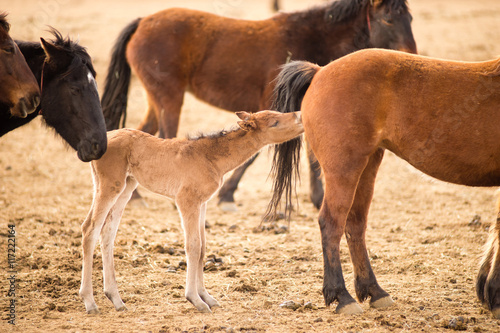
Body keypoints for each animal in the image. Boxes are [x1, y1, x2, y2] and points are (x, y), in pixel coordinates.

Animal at [80, 110, 302, 312]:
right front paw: (195, 300)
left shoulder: (202, 203)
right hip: (110, 186)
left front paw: (207, 296)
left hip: (126, 186)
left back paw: (116, 299)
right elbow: (193, 246)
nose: (299, 115)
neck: (209, 157)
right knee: (89, 229)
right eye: (274, 122)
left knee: (107, 233)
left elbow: (203, 247)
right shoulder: (186, 201)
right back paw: (90, 302)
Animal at [99, 0, 416, 209]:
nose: (411, 57)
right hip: (170, 98)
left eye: (410, 19)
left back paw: (135, 196)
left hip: (158, 100)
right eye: (388, 19)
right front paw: (227, 194)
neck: (308, 37)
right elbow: (258, 151)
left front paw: (317, 197)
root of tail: (142, 22)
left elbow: (310, 154)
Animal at [266, 48, 500, 316]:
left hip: (367, 166)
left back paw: (374, 291)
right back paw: (341, 295)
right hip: (344, 170)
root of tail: (320, 71)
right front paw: (494, 293)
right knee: (331, 224)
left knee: (355, 224)